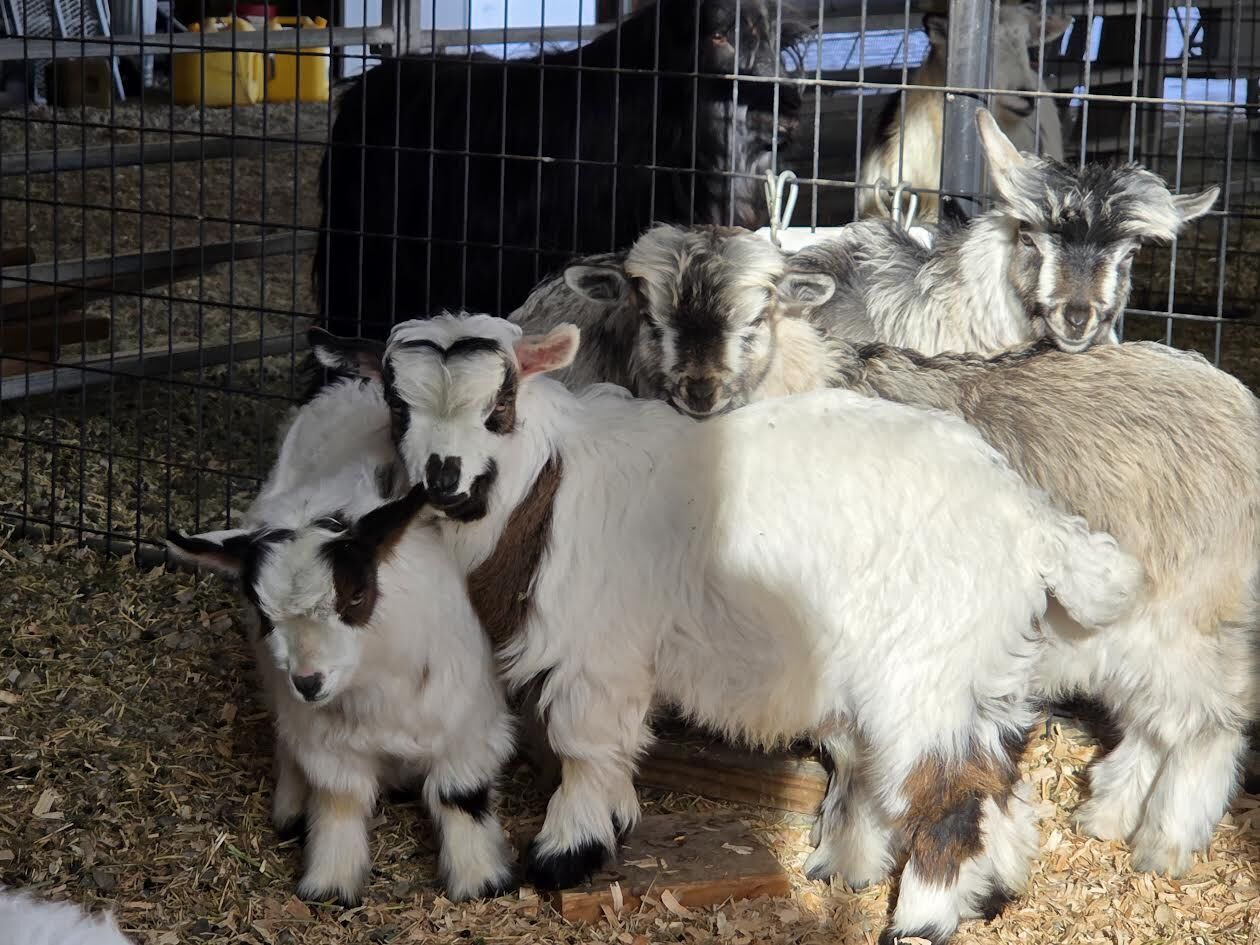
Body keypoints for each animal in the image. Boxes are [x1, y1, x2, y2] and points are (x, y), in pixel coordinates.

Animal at [166, 374, 516, 906]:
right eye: (263, 612)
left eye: (356, 594)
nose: (309, 682)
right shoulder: (325, 742)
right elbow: (339, 802)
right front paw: (329, 886)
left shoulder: (467, 727)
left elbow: (459, 796)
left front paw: (480, 881)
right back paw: (290, 806)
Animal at [311, 314, 1143, 945]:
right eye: (397, 407)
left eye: (500, 405)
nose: (443, 477)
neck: (545, 487)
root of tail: (1028, 516)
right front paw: (610, 822)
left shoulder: (597, 652)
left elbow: (583, 749)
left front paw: (566, 850)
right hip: (979, 658)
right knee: (998, 773)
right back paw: (984, 890)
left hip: (927, 662)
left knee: (950, 785)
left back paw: (922, 919)